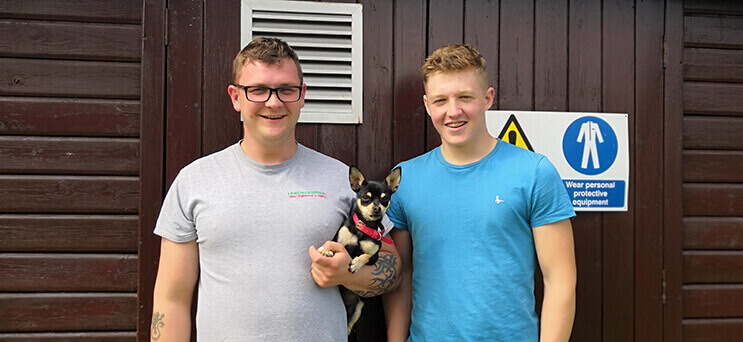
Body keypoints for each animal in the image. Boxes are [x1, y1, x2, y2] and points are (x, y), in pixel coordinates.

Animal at [322, 166, 402, 334]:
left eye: (385, 198)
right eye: (366, 198)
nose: (377, 208)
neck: (364, 228)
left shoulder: (375, 257)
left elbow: (365, 255)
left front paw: (356, 263)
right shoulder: (338, 241)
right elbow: (330, 243)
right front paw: (326, 251)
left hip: (359, 307)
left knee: (350, 323)